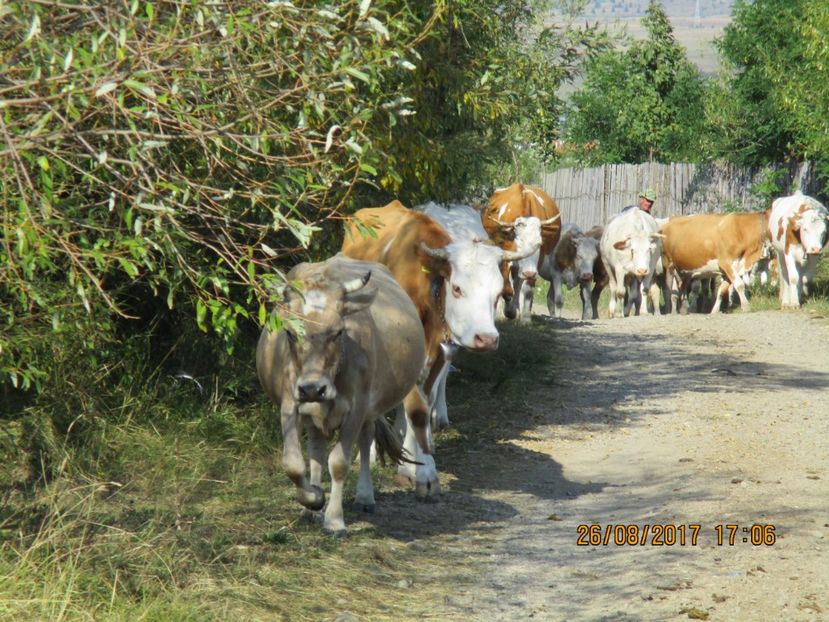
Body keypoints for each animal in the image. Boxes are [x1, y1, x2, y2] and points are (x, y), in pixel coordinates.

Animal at [258, 256, 426, 540]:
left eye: (337, 332)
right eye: (290, 333)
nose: (313, 388)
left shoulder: (356, 410)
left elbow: (338, 463)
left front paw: (335, 520)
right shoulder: (290, 404)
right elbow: (293, 463)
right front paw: (313, 498)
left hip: (369, 409)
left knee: (366, 441)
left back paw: (365, 497)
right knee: (316, 449)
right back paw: (311, 508)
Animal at [482, 183, 560, 324]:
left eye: (539, 244)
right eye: (519, 243)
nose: (529, 273)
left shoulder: (537, 264)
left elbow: (527, 290)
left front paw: (525, 318)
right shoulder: (505, 256)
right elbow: (506, 287)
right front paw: (508, 312)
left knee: (518, 283)